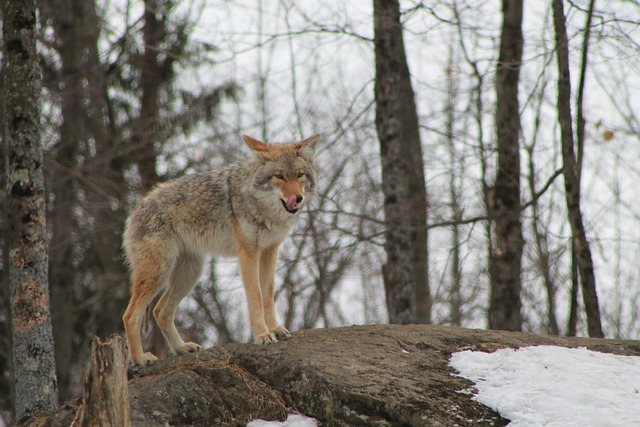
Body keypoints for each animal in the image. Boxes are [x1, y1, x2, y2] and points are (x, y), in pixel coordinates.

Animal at [122, 134, 320, 365]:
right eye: (279, 176)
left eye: (299, 175)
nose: (297, 198)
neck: (264, 210)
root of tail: (136, 209)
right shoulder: (249, 252)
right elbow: (255, 297)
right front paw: (263, 335)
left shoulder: (270, 250)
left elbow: (268, 294)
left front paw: (276, 329)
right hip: (159, 273)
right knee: (130, 315)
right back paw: (139, 359)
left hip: (190, 273)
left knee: (160, 310)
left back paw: (182, 348)